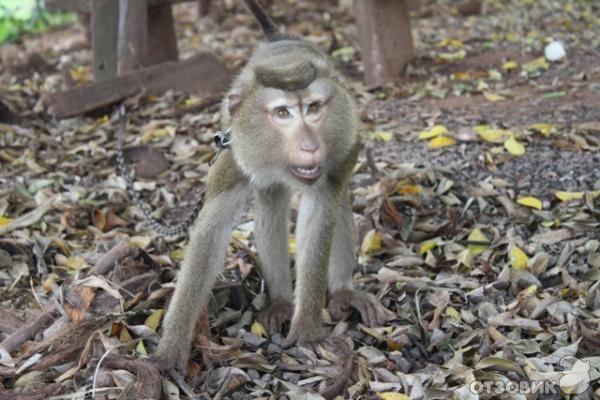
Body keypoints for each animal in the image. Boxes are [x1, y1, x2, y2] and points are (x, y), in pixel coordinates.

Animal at [152, 0, 392, 372]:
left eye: (313, 108)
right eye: (282, 113)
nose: (310, 145)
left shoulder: (339, 147)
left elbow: (320, 215)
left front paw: (307, 330)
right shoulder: (234, 153)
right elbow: (212, 230)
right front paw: (170, 350)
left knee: (338, 199)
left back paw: (341, 292)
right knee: (271, 201)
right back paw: (279, 300)